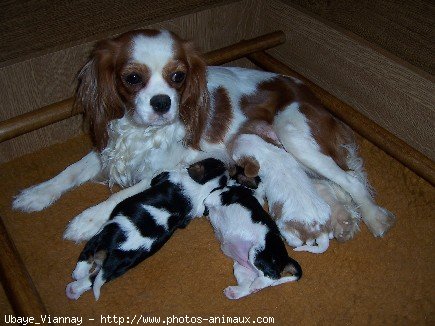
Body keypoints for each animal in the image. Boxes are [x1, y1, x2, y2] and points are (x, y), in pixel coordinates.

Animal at [12, 28, 396, 242]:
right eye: (133, 78)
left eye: (178, 76)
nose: (162, 102)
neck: (140, 131)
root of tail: (310, 94)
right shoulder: (109, 146)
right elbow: (69, 172)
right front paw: (36, 194)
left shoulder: (167, 169)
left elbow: (119, 197)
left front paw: (87, 220)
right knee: (329, 186)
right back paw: (342, 219)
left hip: (296, 135)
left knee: (350, 180)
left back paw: (375, 217)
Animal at [66, 158, 228, 300]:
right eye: (216, 163)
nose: (223, 162)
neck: (199, 187)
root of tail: (116, 253)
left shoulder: (165, 176)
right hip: (120, 267)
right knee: (94, 279)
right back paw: (75, 288)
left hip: (101, 236)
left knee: (87, 256)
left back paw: (77, 275)